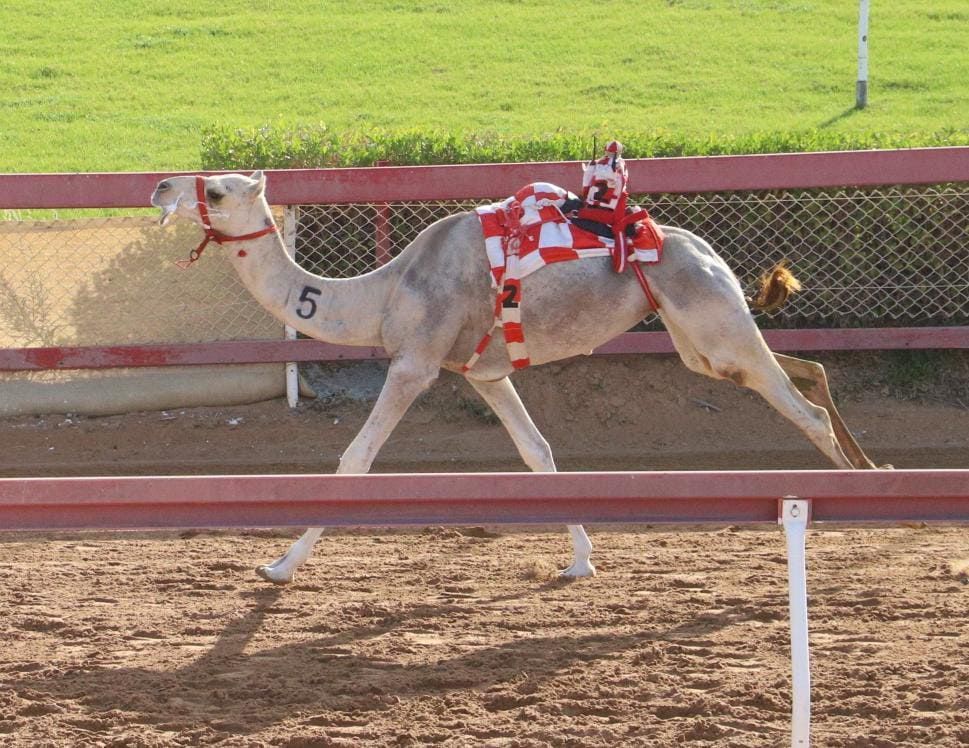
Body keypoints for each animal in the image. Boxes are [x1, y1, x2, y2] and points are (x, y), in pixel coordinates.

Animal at [151, 168, 876, 584]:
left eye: (214, 190)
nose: (158, 186)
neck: (383, 295)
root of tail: (710, 253)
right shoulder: (485, 374)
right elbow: (538, 453)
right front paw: (580, 562)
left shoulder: (414, 362)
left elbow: (354, 460)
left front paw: (278, 565)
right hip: (699, 338)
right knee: (804, 368)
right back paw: (873, 467)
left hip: (710, 316)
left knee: (801, 408)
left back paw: (861, 497)